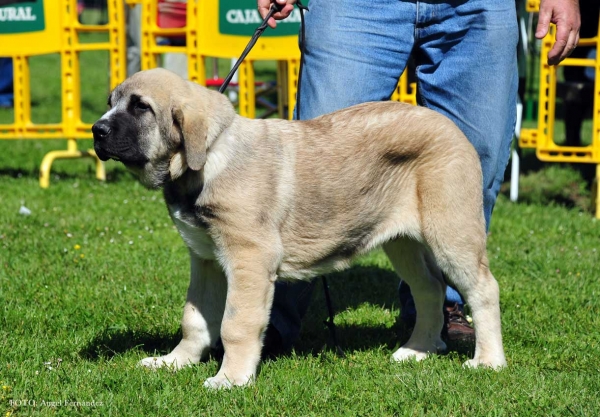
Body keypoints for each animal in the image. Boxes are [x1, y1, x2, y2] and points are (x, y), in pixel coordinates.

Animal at [92, 67, 506, 386]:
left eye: (141, 107)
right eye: (111, 102)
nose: (97, 130)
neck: (207, 159)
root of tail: (447, 124)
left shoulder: (249, 259)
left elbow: (235, 324)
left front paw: (230, 379)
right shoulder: (205, 259)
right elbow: (194, 319)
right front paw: (174, 362)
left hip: (451, 233)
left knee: (483, 289)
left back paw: (488, 361)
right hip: (403, 242)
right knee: (429, 288)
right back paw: (418, 350)